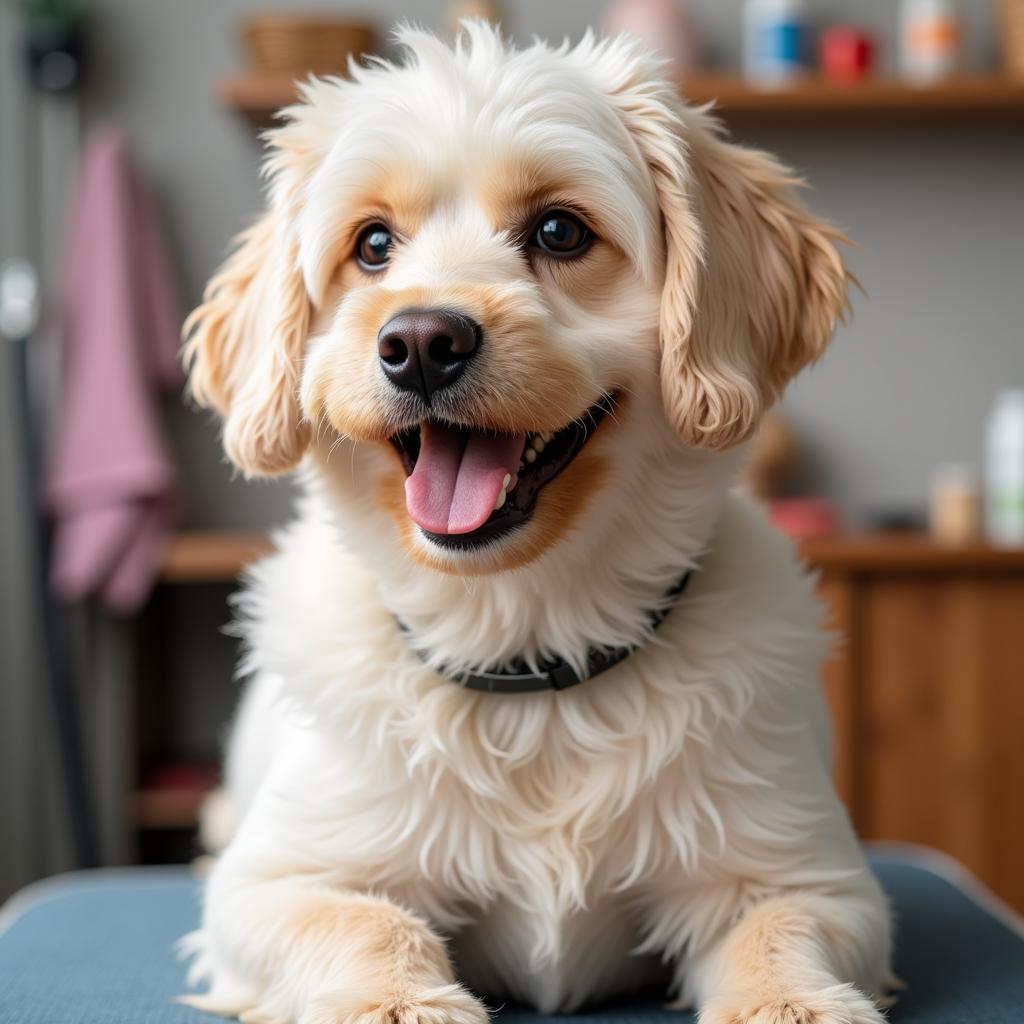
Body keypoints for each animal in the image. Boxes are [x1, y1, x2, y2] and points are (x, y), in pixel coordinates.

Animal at [182, 22, 897, 1024]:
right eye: (373, 245)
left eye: (560, 231)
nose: (420, 343)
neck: (523, 651)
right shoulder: (270, 884)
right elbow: (366, 922)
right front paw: (399, 1000)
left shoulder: (812, 879)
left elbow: (778, 938)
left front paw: (792, 1003)